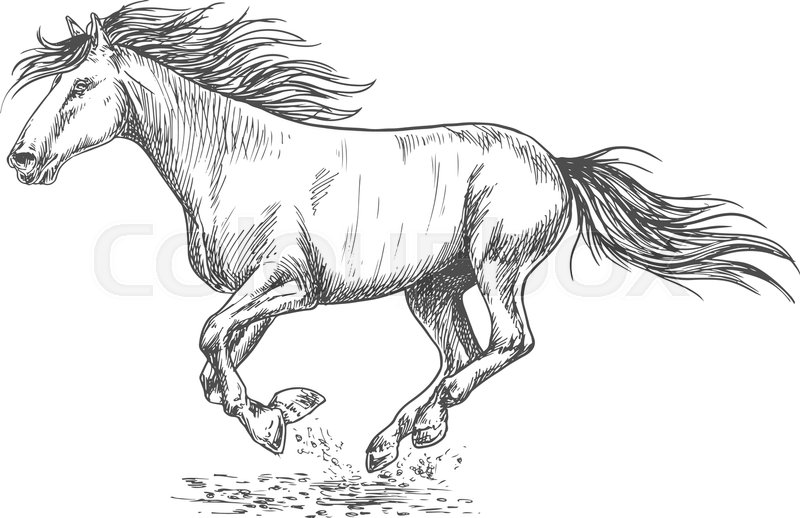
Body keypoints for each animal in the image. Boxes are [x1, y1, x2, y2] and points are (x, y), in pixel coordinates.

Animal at [7, 4, 794, 473]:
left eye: (78, 88)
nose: (21, 160)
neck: (234, 158)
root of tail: (558, 164)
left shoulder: (287, 287)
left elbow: (208, 339)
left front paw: (271, 424)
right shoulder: (256, 296)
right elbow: (214, 358)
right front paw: (284, 409)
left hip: (496, 268)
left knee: (509, 342)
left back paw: (409, 429)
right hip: (432, 291)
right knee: (463, 353)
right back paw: (402, 435)